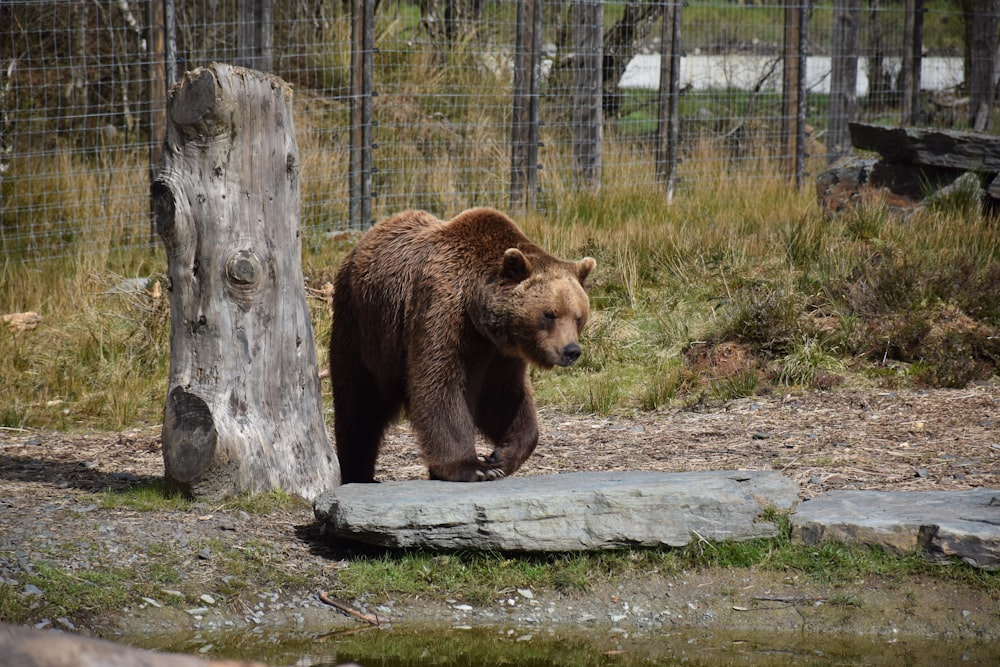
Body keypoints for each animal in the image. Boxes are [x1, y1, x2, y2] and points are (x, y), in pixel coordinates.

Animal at [330, 206, 592, 482]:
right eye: (549, 314)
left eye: (578, 317)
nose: (571, 351)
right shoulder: (443, 310)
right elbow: (439, 382)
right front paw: (474, 467)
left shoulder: (500, 353)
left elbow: (503, 396)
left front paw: (502, 455)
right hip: (362, 327)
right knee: (358, 404)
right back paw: (358, 471)